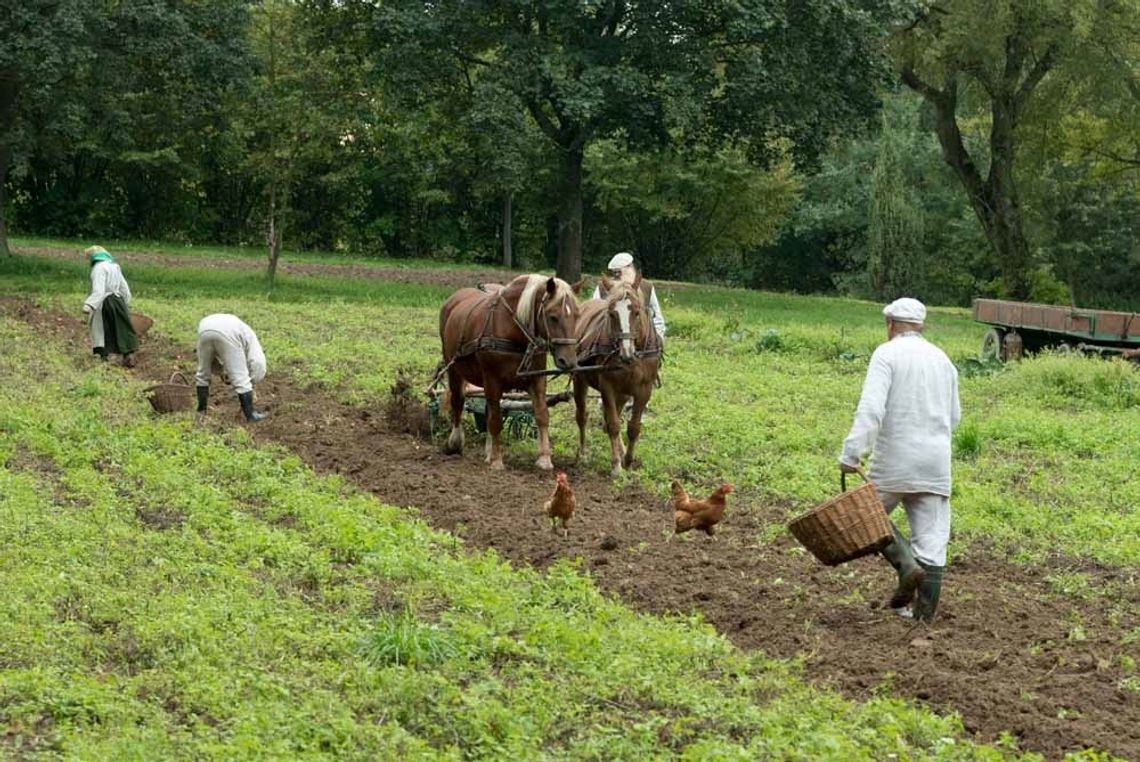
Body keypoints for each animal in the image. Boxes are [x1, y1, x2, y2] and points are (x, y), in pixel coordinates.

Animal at [435, 274, 579, 469]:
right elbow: (495, 420)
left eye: (577, 316)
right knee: (458, 400)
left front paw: (544, 458)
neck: (513, 330)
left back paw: (487, 451)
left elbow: (542, 414)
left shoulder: (536, 379)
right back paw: (455, 442)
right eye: (553, 317)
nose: (569, 361)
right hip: (454, 367)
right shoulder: (492, 379)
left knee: (487, 409)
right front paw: (497, 460)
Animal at [574, 273, 665, 476]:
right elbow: (614, 425)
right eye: (611, 314)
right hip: (579, 379)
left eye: (637, 312)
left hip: (623, 394)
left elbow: (633, 427)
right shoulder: (607, 387)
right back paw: (583, 453)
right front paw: (616, 465)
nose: (626, 353)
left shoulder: (644, 390)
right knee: (583, 415)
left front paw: (628, 461)